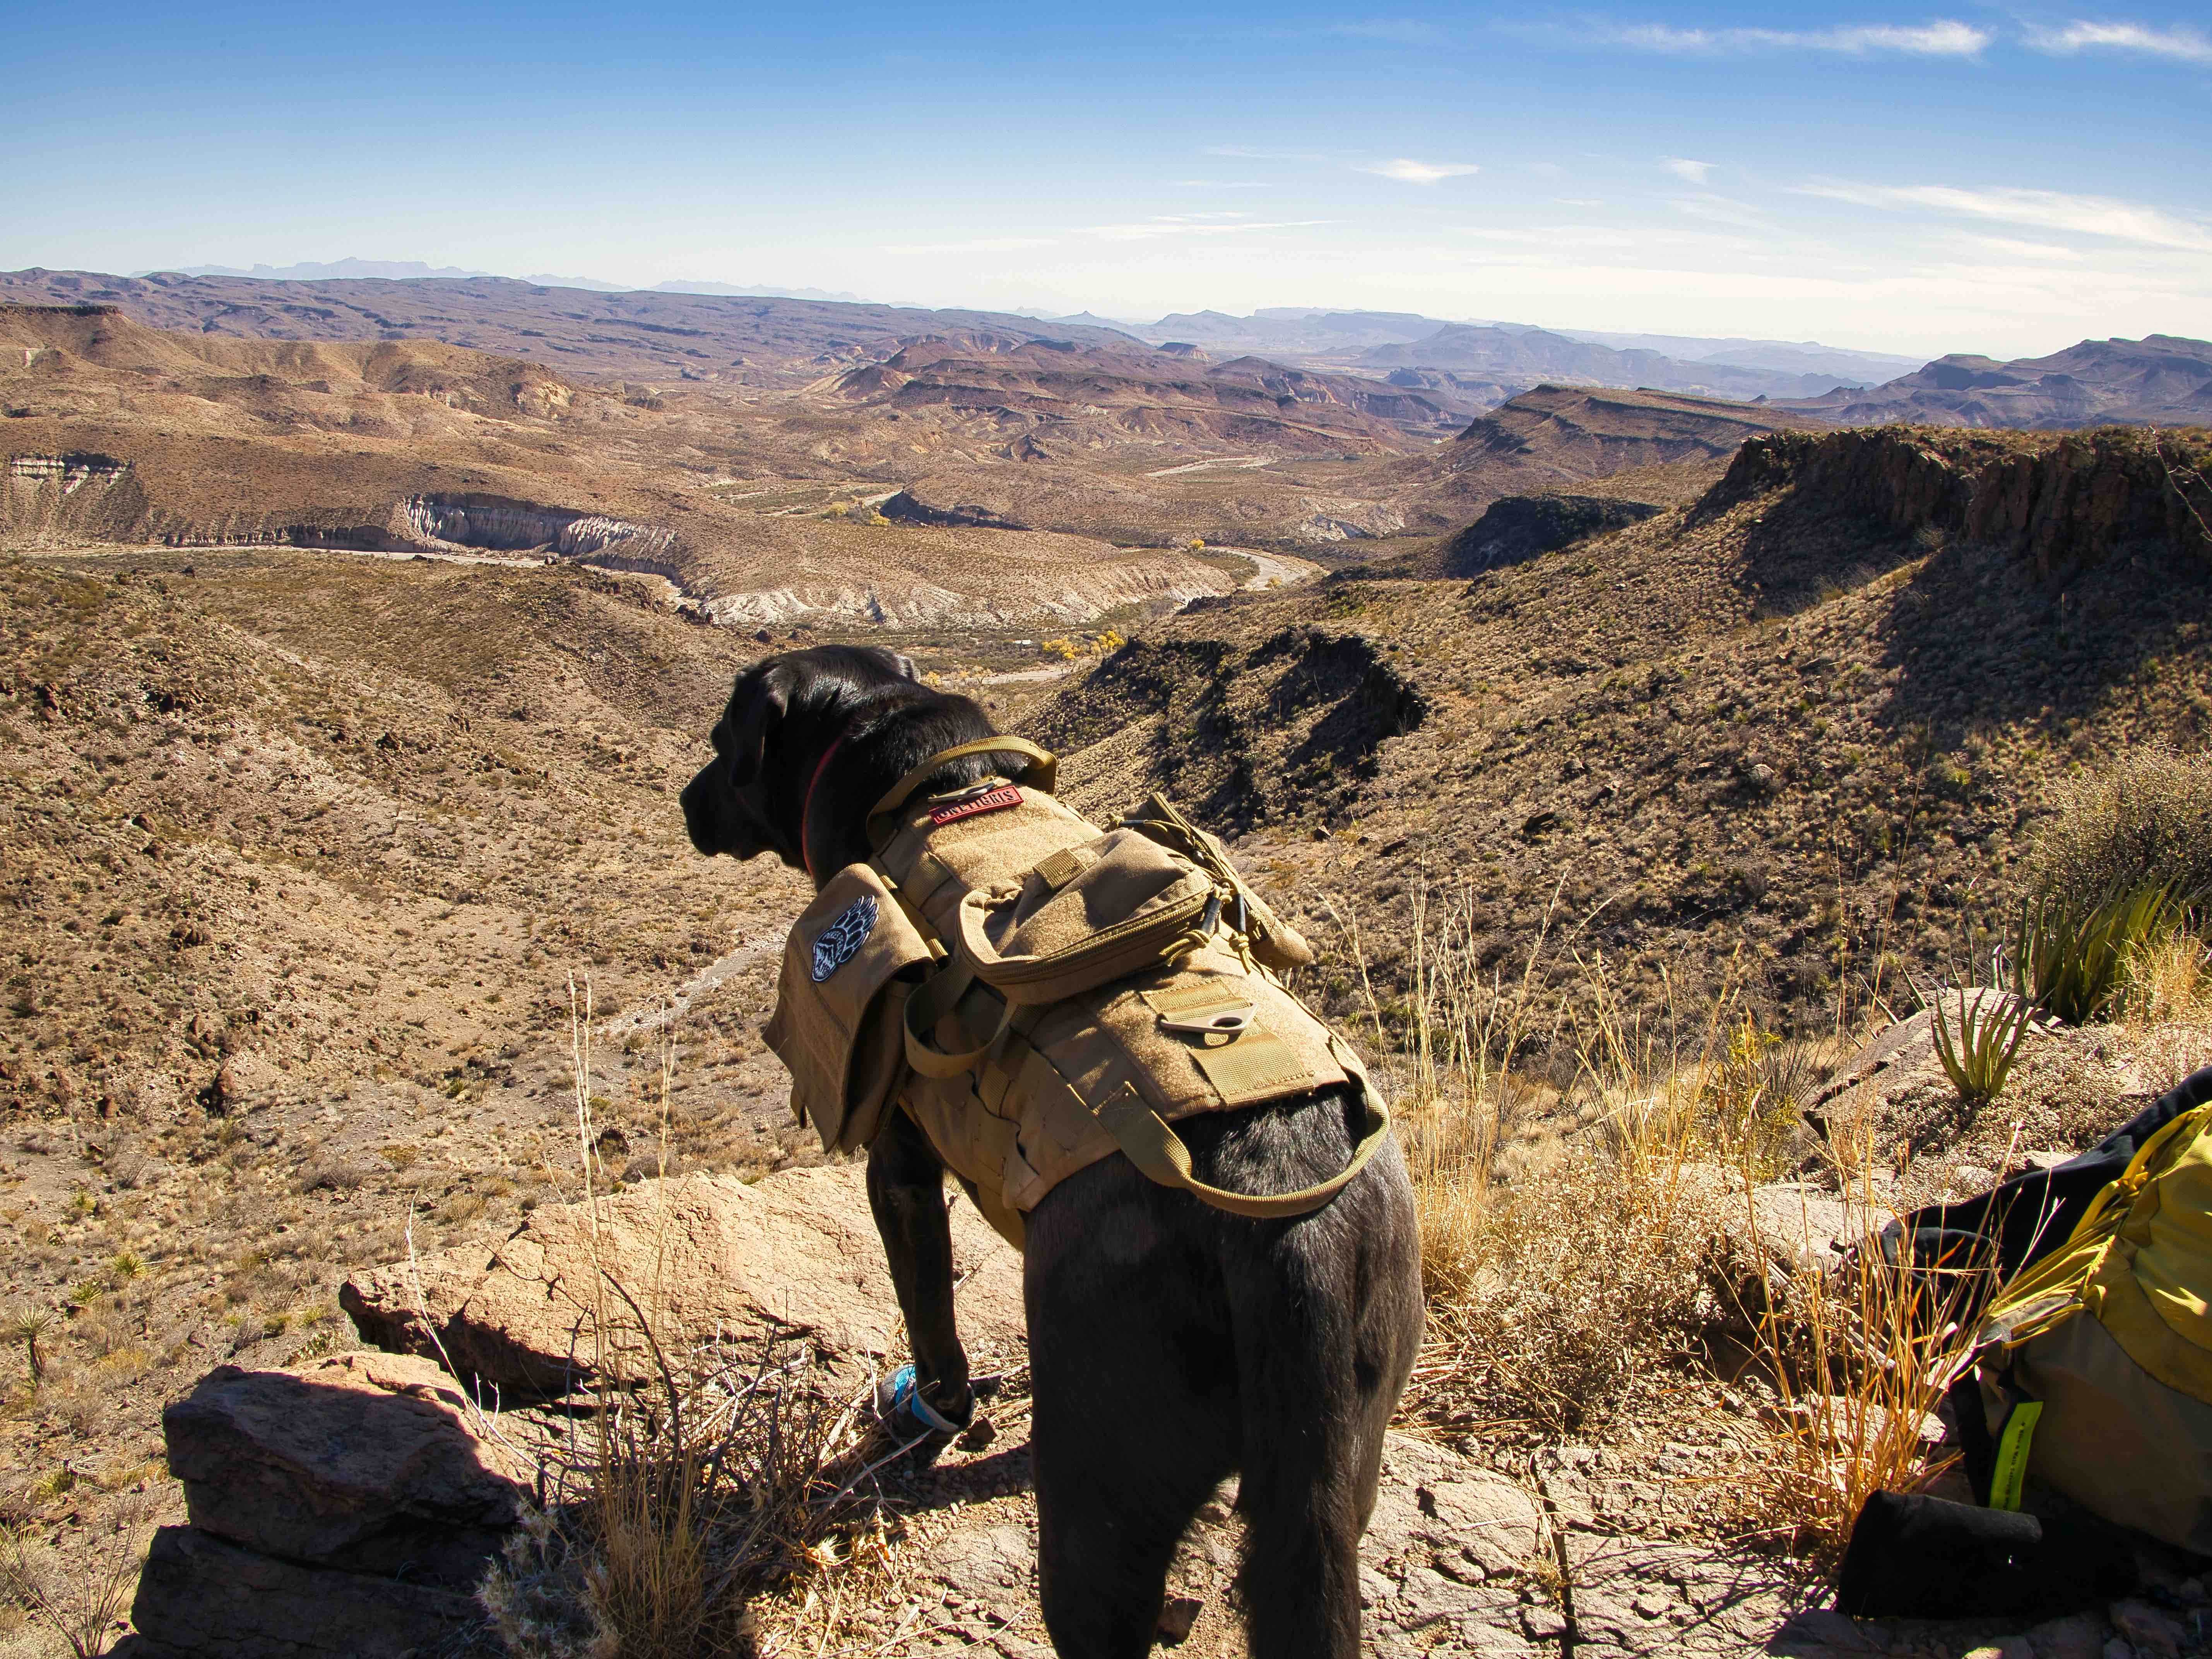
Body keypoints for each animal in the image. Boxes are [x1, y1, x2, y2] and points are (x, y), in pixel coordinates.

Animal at [681, 650, 1424, 1659]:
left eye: (723, 738)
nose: (685, 798)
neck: (930, 779)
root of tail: (1281, 1219)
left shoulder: (898, 1166)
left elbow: (929, 1314)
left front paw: (929, 1410)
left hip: (1098, 1502)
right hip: (1346, 1448)